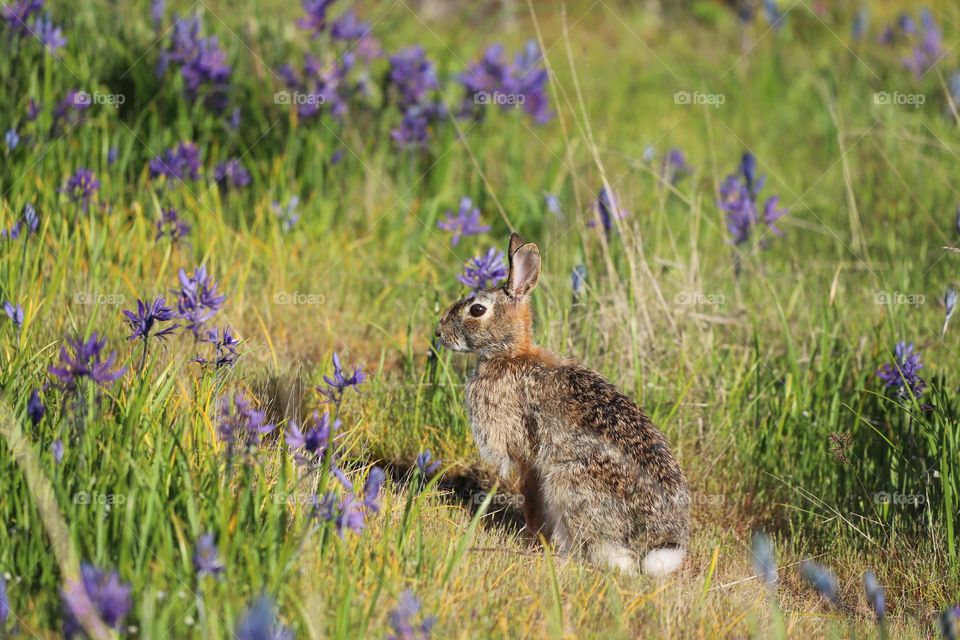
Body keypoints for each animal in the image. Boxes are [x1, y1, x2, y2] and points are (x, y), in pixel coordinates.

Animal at [436, 232, 688, 576]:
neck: (509, 355)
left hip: (569, 484)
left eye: (476, 309)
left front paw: (532, 541)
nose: (439, 332)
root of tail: (659, 544)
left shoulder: (525, 454)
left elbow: (531, 499)